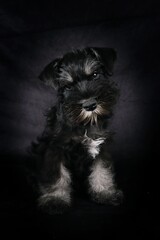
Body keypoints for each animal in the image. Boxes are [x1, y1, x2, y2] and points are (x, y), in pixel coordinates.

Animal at [31, 47, 123, 214]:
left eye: (95, 75)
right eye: (68, 86)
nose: (90, 105)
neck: (85, 124)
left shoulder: (102, 147)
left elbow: (102, 170)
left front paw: (105, 193)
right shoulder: (55, 150)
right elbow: (57, 176)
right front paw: (55, 199)